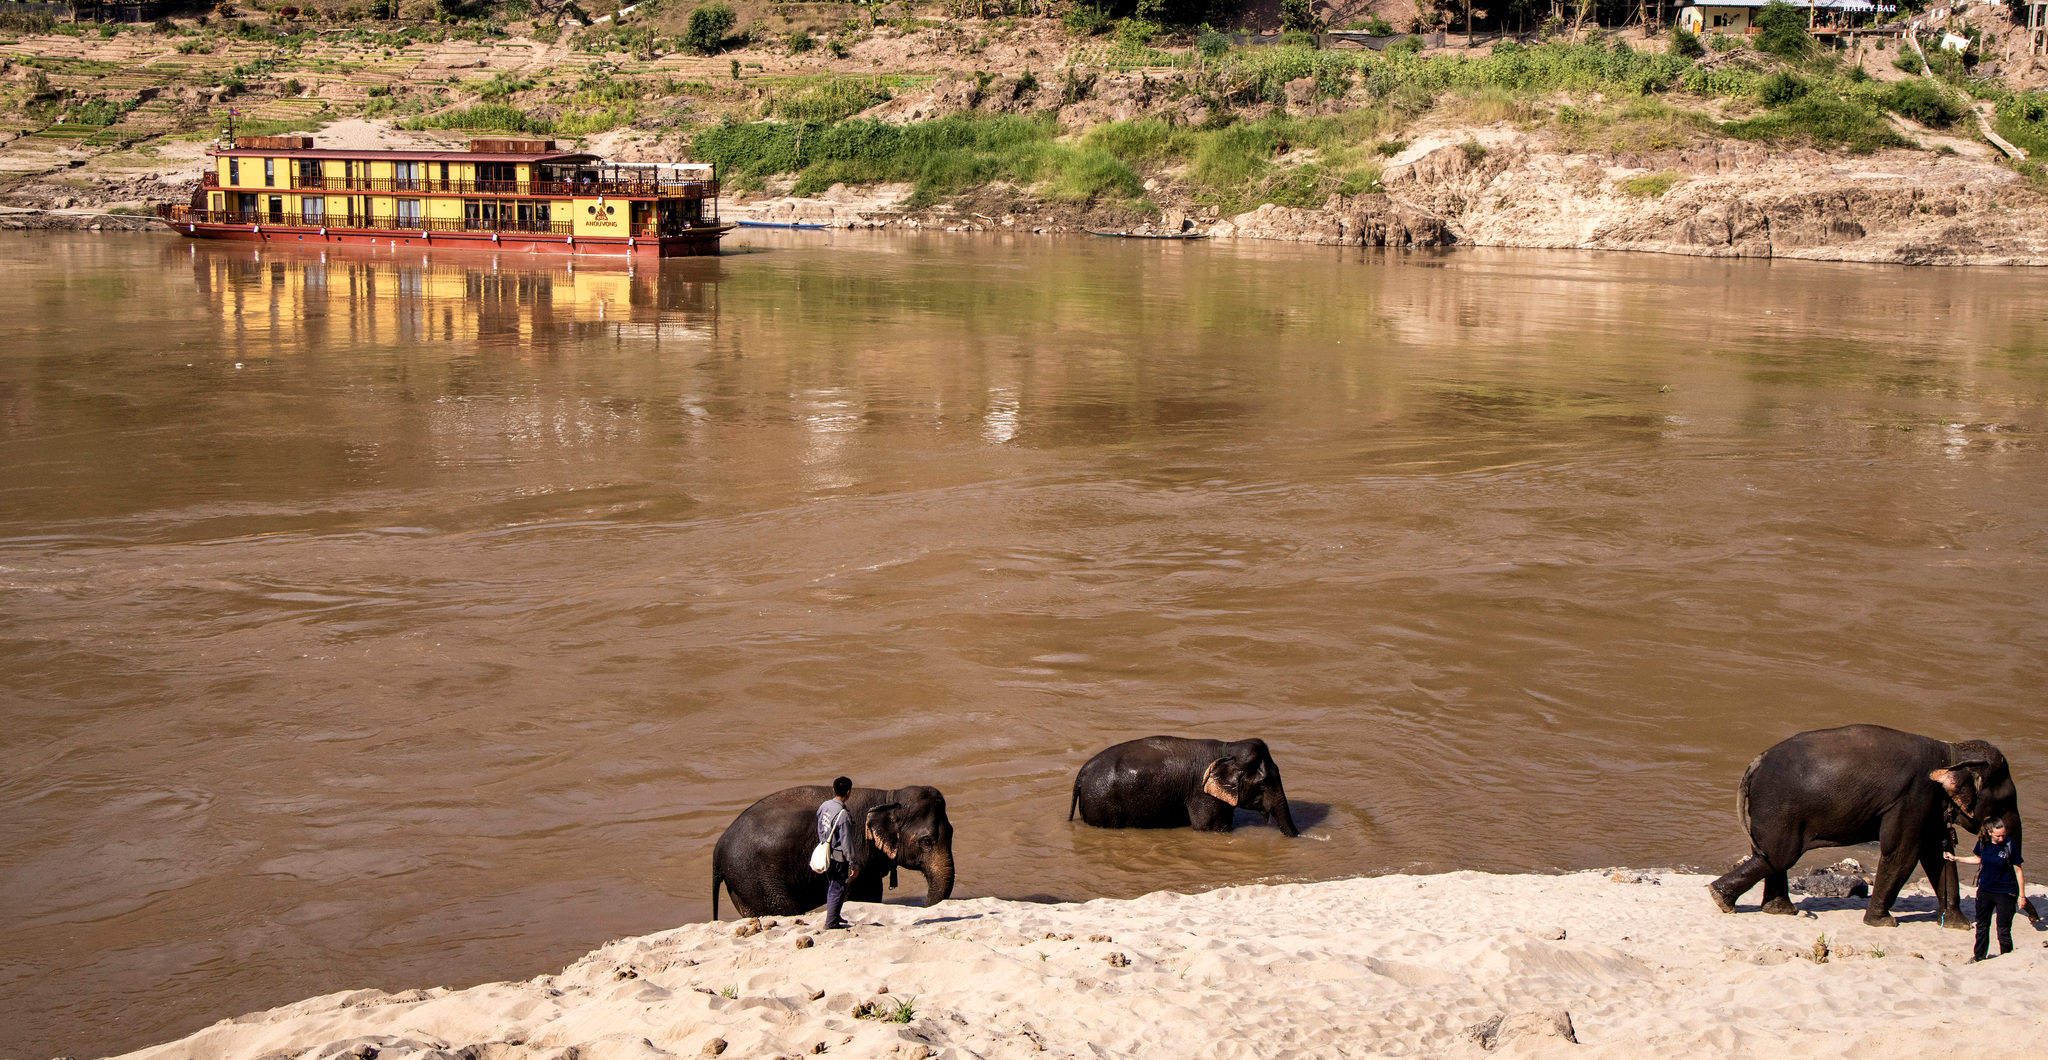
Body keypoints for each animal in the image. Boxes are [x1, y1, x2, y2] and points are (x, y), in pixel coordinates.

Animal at [712, 784, 955, 920]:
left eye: (952, 832)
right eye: (926, 841)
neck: (888, 797)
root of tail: (719, 847)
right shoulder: (857, 846)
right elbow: (858, 895)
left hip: (742, 886)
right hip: (756, 879)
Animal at [1069, 736, 1300, 837]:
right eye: (1263, 784)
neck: (1228, 749)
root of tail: (1080, 775)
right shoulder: (1202, 794)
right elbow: (1210, 827)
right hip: (1102, 806)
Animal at [1708, 724, 2021, 928]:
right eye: (2007, 802)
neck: (1952, 752)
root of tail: (1755, 761)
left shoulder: (1931, 807)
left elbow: (1938, 857)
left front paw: (1961, 926)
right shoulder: (1914, 798)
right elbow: (1902, 853)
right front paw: (1883, 923)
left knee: (1769, 856)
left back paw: (1777, 911)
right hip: (1779, 807)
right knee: (1778, 856)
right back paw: (1722, 900)